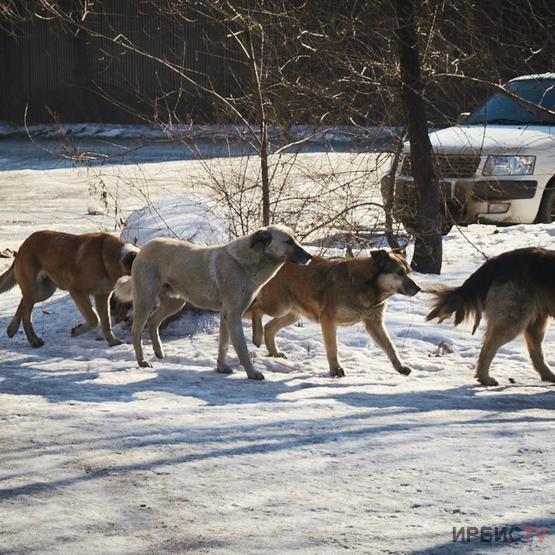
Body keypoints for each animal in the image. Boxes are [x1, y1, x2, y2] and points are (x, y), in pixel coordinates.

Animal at [0, 230, 138, 348]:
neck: (108, 258)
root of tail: (23, 246)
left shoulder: (102, 296)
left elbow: (106, 322)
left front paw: (112, 341)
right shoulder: (77, 290)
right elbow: (94, 318)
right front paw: (76, 330)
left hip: (44, 291)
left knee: (23, 303)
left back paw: (12, 330)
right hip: (35, 288)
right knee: (26, 314)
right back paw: (33, 340)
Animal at [114, 225, 312, 378]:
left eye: (295, 239)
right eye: (288, 242)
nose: (310, 256)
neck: (248, 262)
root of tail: (143, 248)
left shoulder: (225, 316)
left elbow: (223, 346)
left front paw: (222, 368)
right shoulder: (233, 315)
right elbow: (241, 349)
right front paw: (252, 373)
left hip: (175, 303)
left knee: (153, 321)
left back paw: (159, 352)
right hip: (145, 300)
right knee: (137, 330)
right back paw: (142, 361)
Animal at [249, 251, 422, 378]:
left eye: (409, 272)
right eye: (399, 272)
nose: (419, 289)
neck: (368, 286)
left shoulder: (374, 322)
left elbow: (390, 347)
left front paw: (401, 367)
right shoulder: (328, 320)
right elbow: (333, 347)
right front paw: (336, 369)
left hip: (292, 313)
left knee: (269, 326)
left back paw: (274, 353)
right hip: (279, 305)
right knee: (256, 309)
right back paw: (256, 337)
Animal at [430, 248, 555, 386]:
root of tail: (497, 260)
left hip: (534, 321)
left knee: (534, 352)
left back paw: (548, 375)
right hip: (513, 320)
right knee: (488, 349)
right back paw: (485, 378)